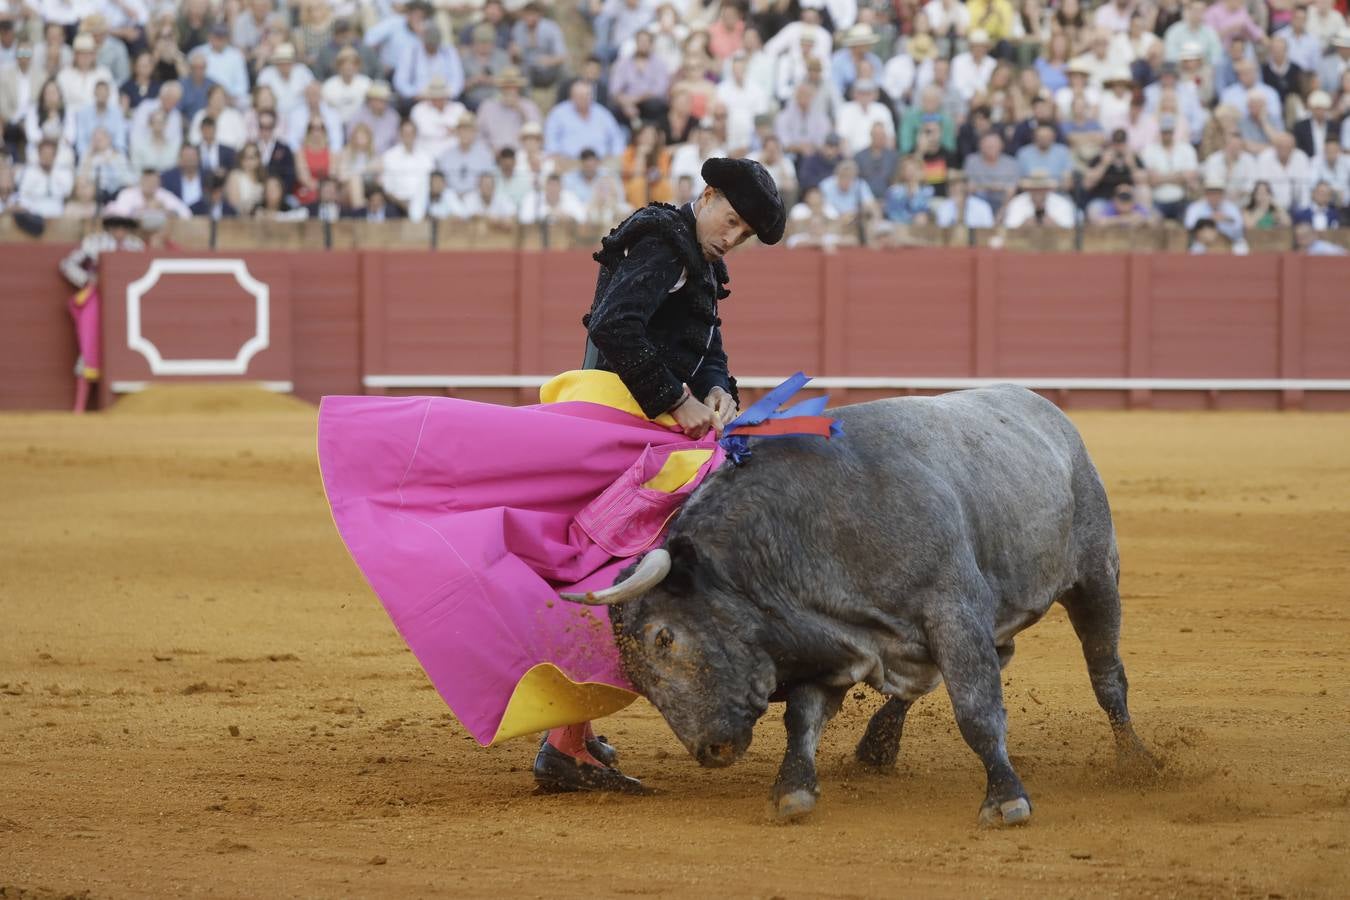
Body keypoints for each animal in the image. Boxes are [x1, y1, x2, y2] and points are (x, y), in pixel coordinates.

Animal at [564, 385, 1155, 825]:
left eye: (664, 637)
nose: (710, 751)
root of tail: (1045, 409)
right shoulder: (831, 640)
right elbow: (803, 717)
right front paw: (793, 789)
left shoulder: (954, 610)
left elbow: (977, 708)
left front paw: (1006, 799)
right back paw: (878, 746)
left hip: (1095, 575)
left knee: (1106, 673)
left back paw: (1136, 761)